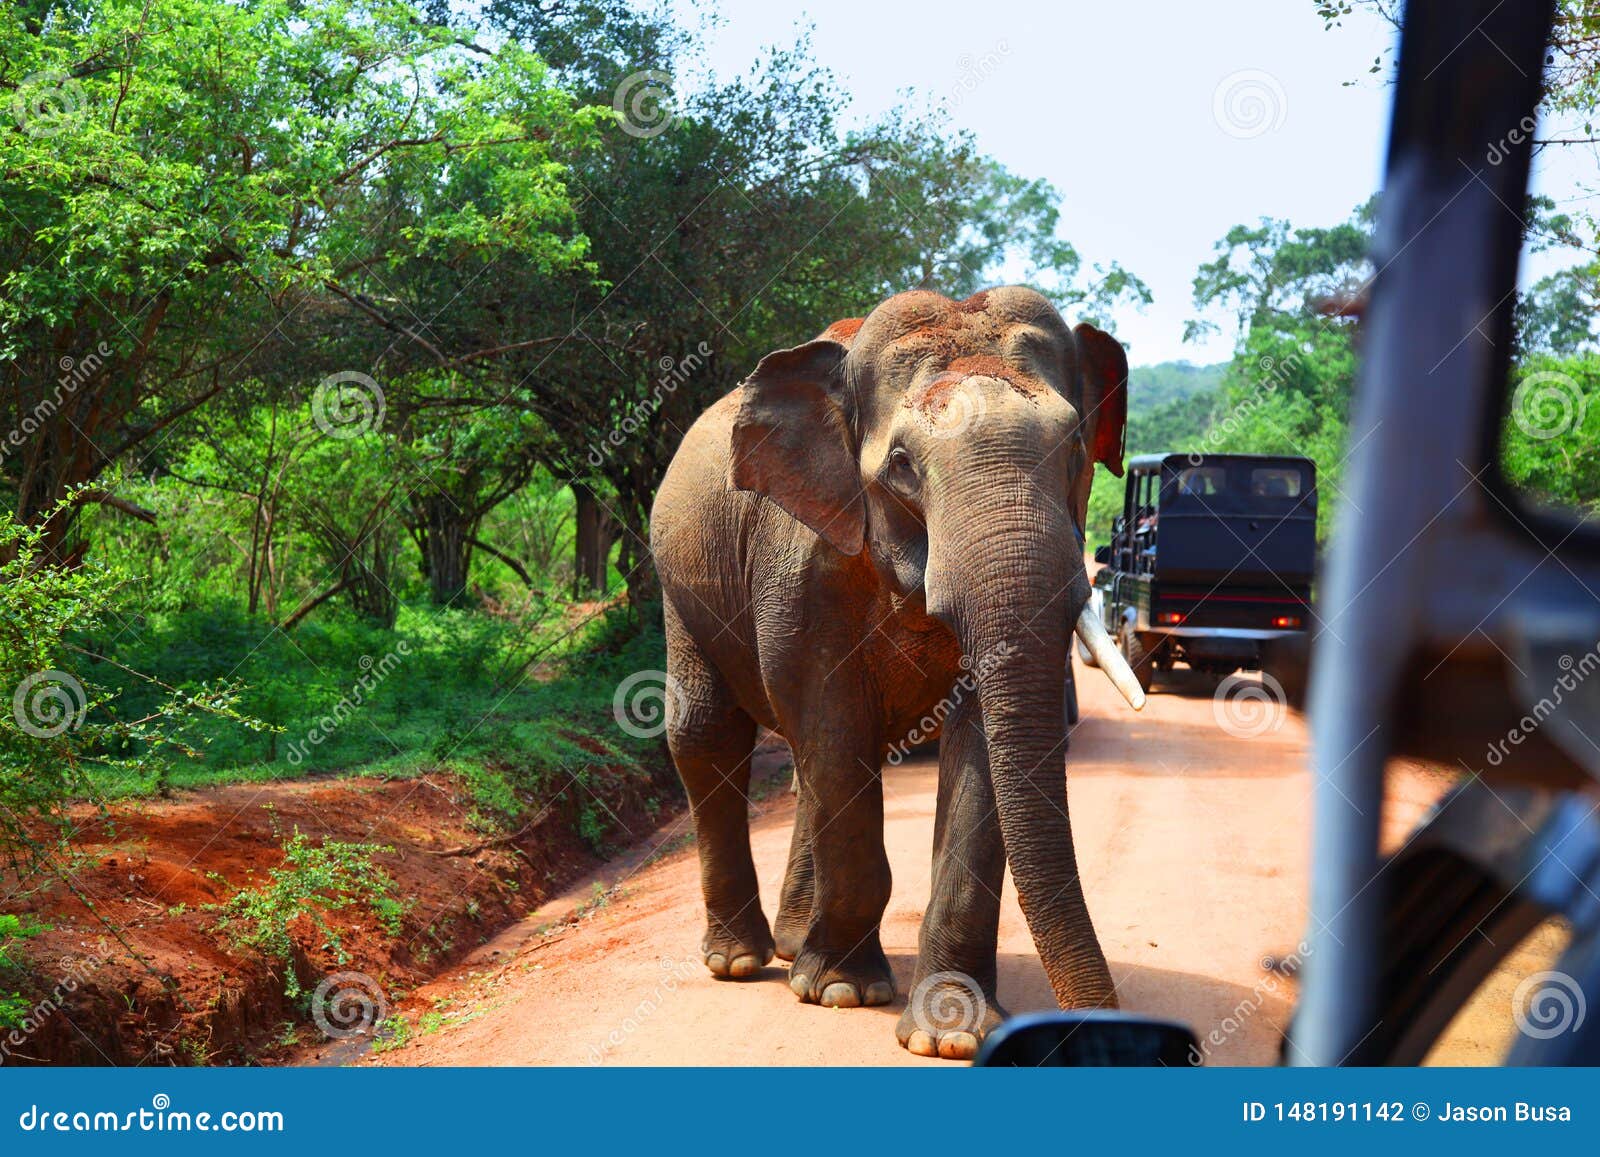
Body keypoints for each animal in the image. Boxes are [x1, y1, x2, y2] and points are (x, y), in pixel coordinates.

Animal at [643, 283, 1145, 1056]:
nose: (1102, 1027)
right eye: (904, 463)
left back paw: (793, 943)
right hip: (680, 583)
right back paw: (742, 961)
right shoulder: (802, 561)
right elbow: (833, 727)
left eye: (1072, 449)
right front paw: (843, 993)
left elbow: (973, 751)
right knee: (709, 735)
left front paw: (951, 1033)